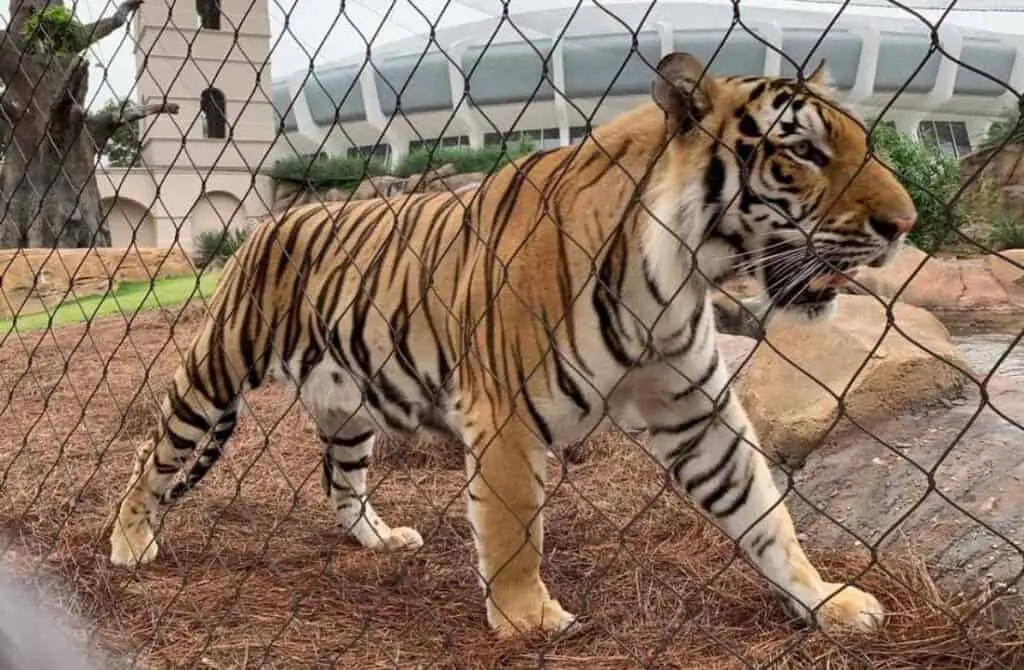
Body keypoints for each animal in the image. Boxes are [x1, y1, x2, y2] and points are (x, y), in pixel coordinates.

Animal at [108, 52, 917, 639]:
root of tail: (272, 220)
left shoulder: (695, 408)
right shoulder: (504, 412)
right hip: (214, 372)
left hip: (349, 406)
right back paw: (128, 542)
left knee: (340, 480)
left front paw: (828, 601)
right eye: (803, 150)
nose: (904, 224)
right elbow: (513, 526)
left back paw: (380, 539)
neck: (675, 275)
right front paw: (527, 620)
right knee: (153, 458)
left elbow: (764, 513)